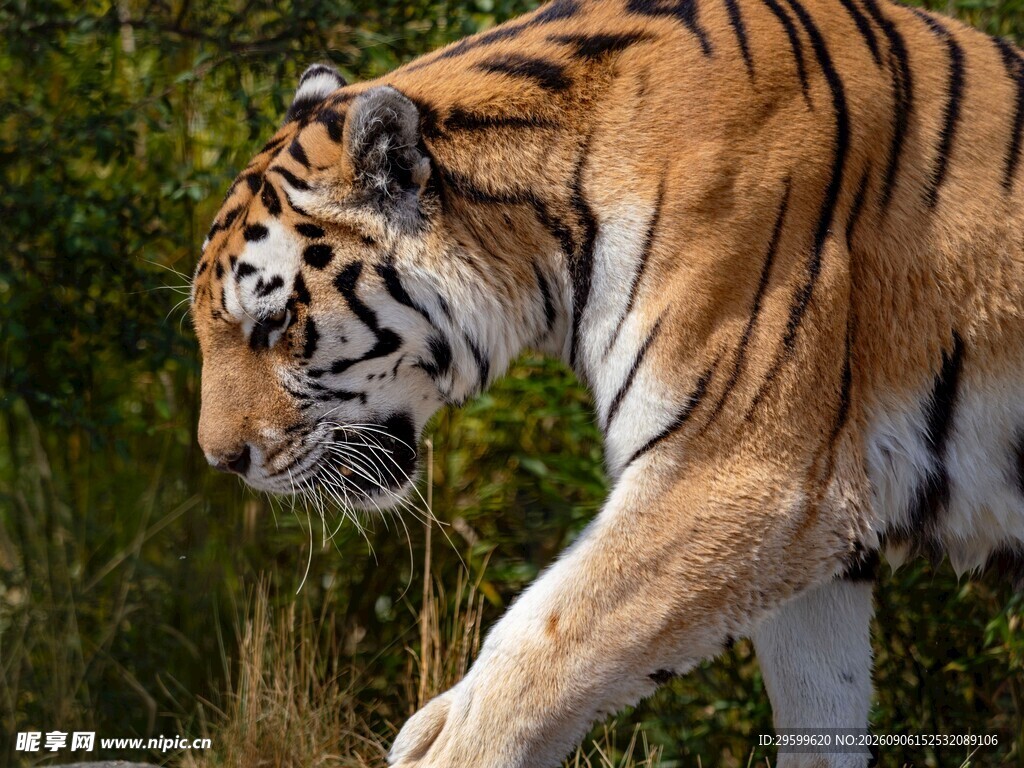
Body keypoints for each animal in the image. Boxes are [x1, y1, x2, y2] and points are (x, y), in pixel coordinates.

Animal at [190, 0, 1024, 763]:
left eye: (272, 322)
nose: (221, 461)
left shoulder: (746, 478)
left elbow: (544, 645)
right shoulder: (817, 532)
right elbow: (821, 710)